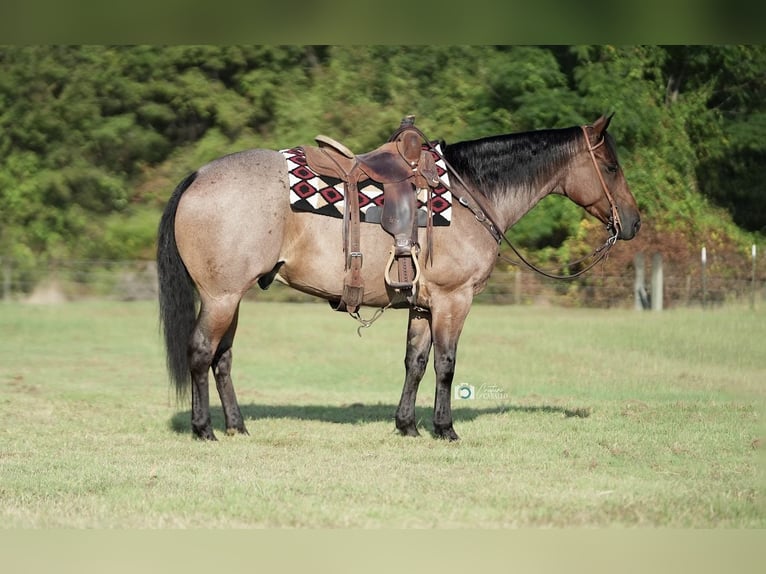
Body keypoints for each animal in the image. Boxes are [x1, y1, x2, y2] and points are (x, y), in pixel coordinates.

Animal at [156, 115, 640, 444]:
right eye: (611, 168)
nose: (633, 222)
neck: (469, 195)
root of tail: (199, 176)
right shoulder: (453, 300)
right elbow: (446, 365)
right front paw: (445, 428)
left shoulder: (424, 305)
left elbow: (416, 362)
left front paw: (407, 425)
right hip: (220, 297)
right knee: (201, 352)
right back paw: (203, 429)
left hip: (231, 298)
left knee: (222, 360)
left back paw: (237, 426)